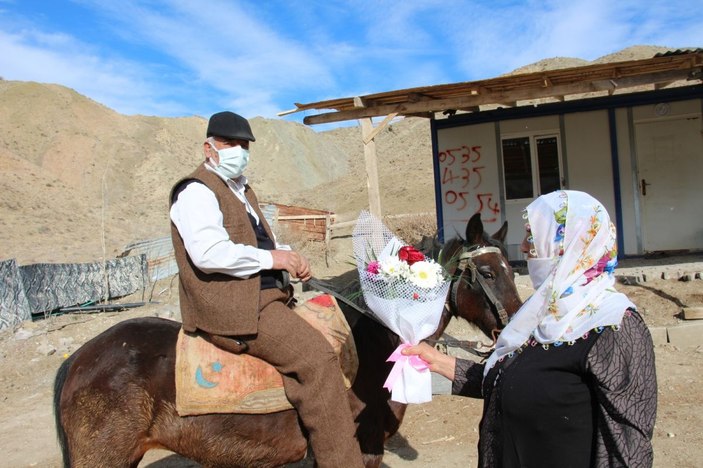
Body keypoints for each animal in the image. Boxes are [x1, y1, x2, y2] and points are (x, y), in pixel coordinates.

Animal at [52, 213, 520, 468]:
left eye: (511, 270)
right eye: (488, 273)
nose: (513, 329)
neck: (374, 336)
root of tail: (78, 359)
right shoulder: (363, 447)